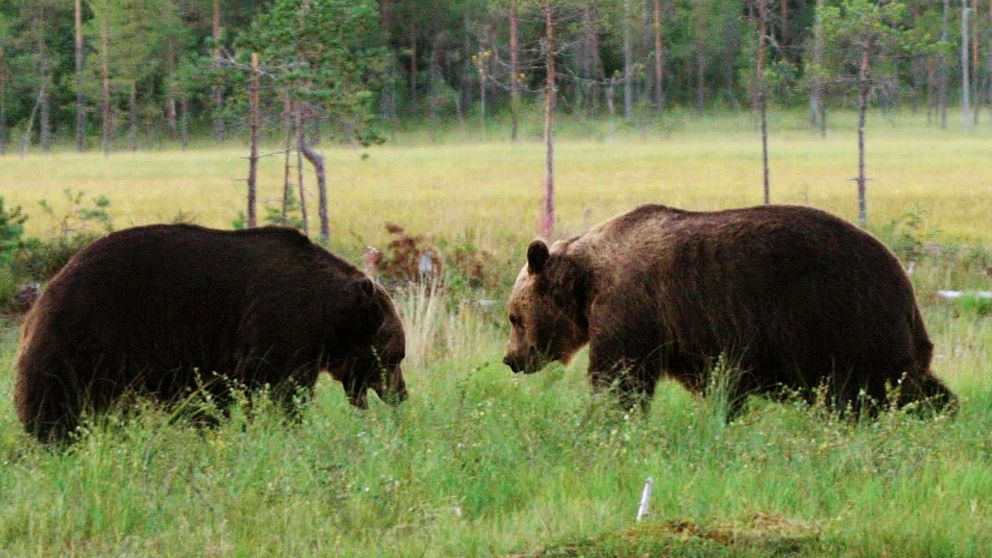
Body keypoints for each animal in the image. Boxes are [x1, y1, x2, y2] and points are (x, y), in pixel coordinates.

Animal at [14, 225, 406, 444]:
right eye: (395, 355)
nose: (402, 394)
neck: (329, 316)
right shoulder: (279, 325)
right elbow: (278, 389)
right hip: (93, 336)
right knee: (59, 394)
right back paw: (52, 434)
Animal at [504, 203, 952, 418]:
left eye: (513, 317)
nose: (510, 359)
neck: (587, 281)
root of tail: (903, 282)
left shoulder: (630, 310)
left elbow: (619, 379)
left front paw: (607, 416)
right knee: (917, 385)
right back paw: (941, 410)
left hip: (838, 322)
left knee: (862, 393)